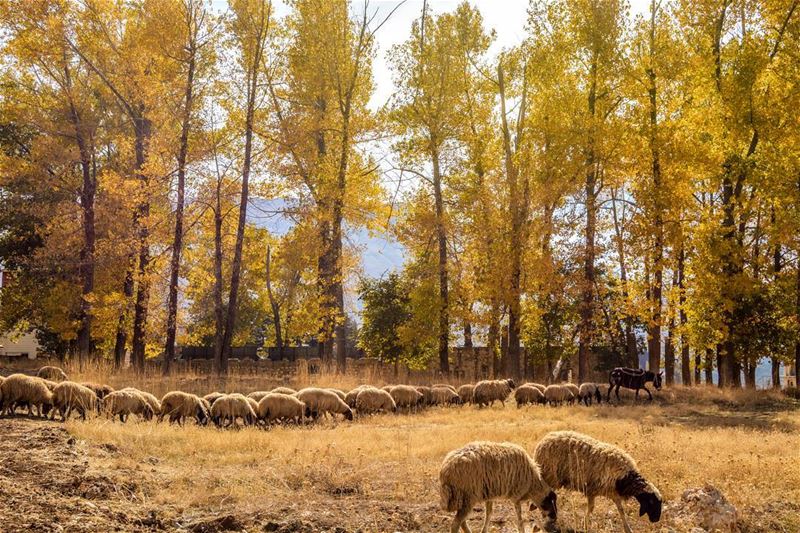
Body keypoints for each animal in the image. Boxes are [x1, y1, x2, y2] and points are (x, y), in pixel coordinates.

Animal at [532, 428, 664, 532]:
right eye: (652, 502)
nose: (656, 520)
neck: (626, 477)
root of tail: (544, 439)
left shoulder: (613, 492)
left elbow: (621, 510)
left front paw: (628, 529)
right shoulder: (592, 489)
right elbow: (591, 508)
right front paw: (585, 525)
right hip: (549, 474)